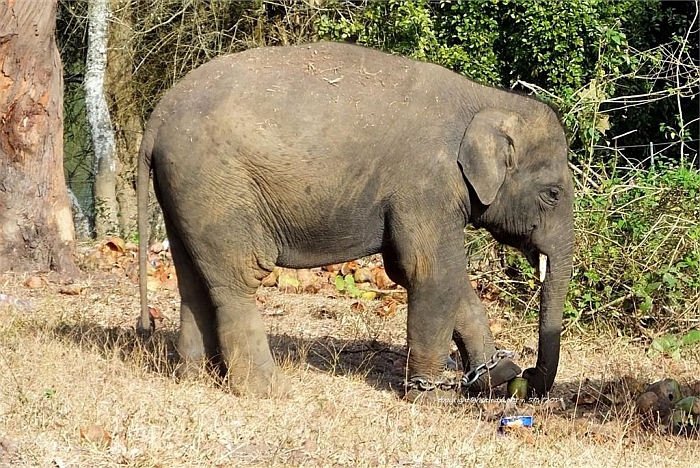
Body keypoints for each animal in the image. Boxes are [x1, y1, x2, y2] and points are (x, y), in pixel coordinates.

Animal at [137, 41, 576, 398]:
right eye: (553, 194)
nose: (530, 377)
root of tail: (159, 114)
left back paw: (195, 379)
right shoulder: (424, 184)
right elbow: (426, 270)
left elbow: (434, 275)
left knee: (192, 279)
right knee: (237, 281)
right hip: (216, 186)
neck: (486, 99)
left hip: (185, 191)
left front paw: (495, 377)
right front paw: (432, 398)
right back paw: (270, 391)